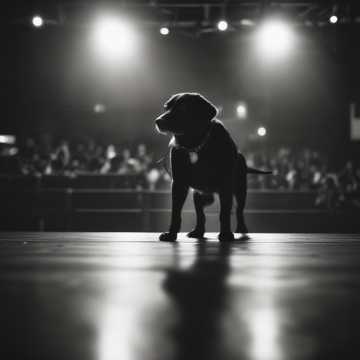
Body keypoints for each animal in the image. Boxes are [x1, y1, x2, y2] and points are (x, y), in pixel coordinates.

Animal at [155, 92, 270, 242]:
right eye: (166, 107)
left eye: (183, 108)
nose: (158, 121)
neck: (195, 145)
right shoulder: (179, 184)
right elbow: (176, 212)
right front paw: (171, 234)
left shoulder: (226, 185)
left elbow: (224, 213)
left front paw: (226, 234)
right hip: (200, 195)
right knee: (201, 213)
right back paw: (198, 231)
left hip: (240, 190)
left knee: (238, 210)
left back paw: (241, 228)